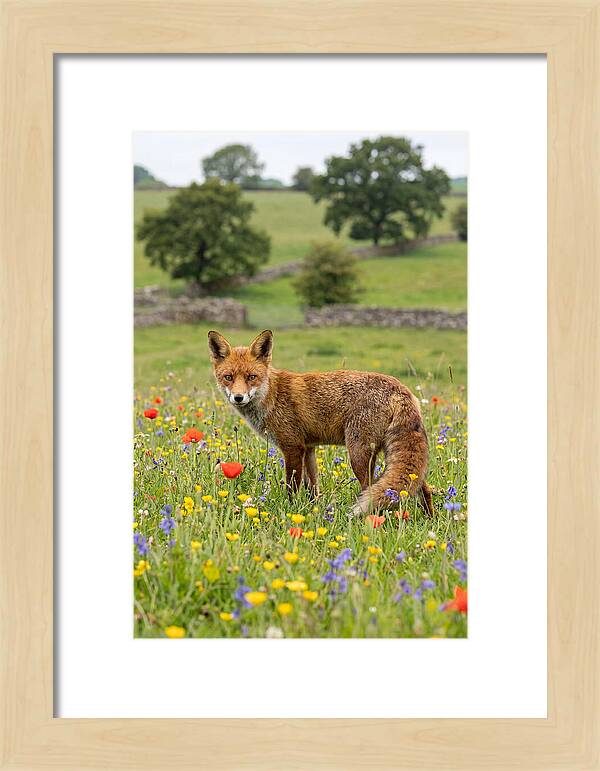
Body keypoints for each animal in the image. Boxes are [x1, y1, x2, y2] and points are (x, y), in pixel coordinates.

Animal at [208, 329, 434, 517]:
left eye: (251, 377)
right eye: (228, 377)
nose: (238, 397)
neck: (271, 395)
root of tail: (400, 387)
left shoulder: (292, 447)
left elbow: (292, 486)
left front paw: (290, 510)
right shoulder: (308, 448)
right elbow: (313, 488)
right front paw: (313, 510)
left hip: (358, 454)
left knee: (370, 489)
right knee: (422, 487)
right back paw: (429, 518)